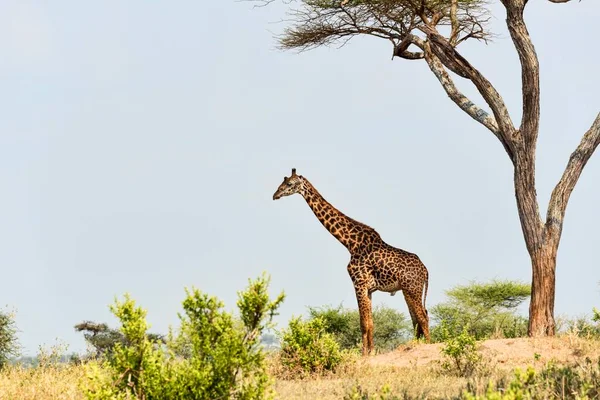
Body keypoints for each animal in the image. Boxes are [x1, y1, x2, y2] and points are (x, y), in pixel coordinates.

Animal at [272, 167, 432, 354]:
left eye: (289, 183)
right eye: (282, 181)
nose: (275, 195)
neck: (350, 243)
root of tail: (425, 270)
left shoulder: (359, 283)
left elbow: (363, 323)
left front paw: (364, 354)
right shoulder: (369, 289)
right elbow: (370, 323)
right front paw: (371, 352)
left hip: (412, 289)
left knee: (423, 317)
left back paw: (428, 346)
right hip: (408, 291)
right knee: (417, 319)